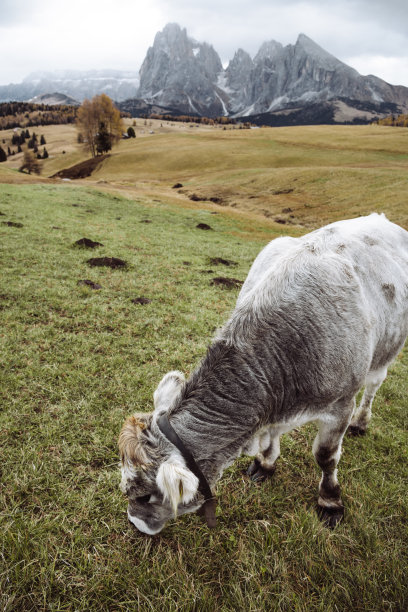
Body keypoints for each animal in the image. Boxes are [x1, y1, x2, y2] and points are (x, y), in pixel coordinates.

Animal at [118, 213, 408, 532]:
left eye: (144, 496)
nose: (135, 522)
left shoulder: (341, 405)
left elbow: (325, 456)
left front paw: (330, 501)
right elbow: (270, 438)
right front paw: (266, 464)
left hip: (385, 354)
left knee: (374, 386)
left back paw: (361, 422)